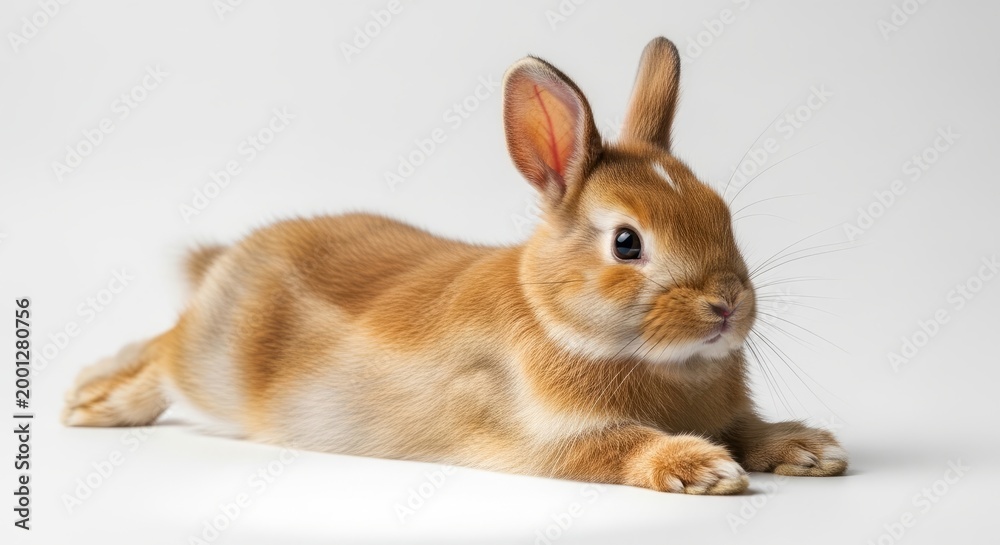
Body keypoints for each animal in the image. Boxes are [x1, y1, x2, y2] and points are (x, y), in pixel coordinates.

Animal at [63, 37, 846, 495]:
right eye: (627, 243)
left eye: (723, 213)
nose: (727, 305)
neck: (556, 315)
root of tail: (228, 263)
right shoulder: (552, 440)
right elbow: (620, 447)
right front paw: (702, 467)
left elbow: (746, 426)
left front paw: (808, 450)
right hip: (214, 365)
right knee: (162, 355)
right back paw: (93, 403)